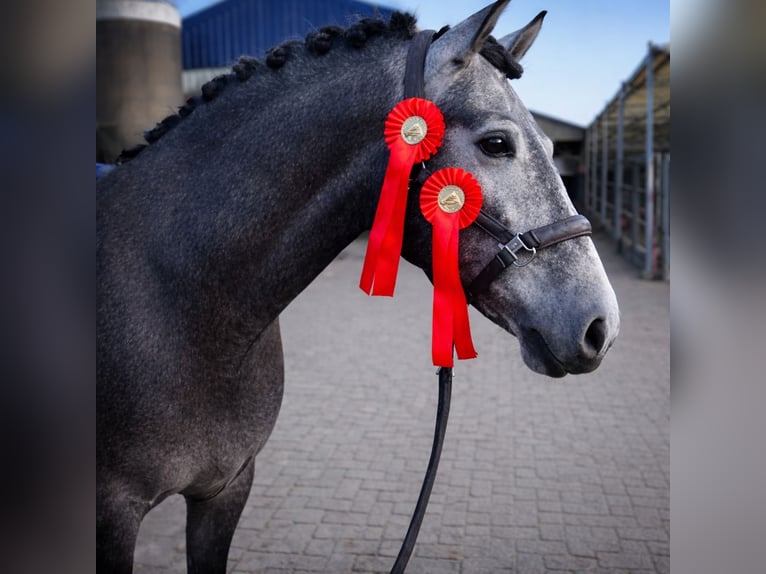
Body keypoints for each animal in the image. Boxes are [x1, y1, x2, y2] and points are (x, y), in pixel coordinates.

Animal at [97, 1, 620, 571]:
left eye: (551, 145)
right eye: (497, 143)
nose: (601, 325)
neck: (186, 304)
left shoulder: (226, 489)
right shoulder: (113, 513)